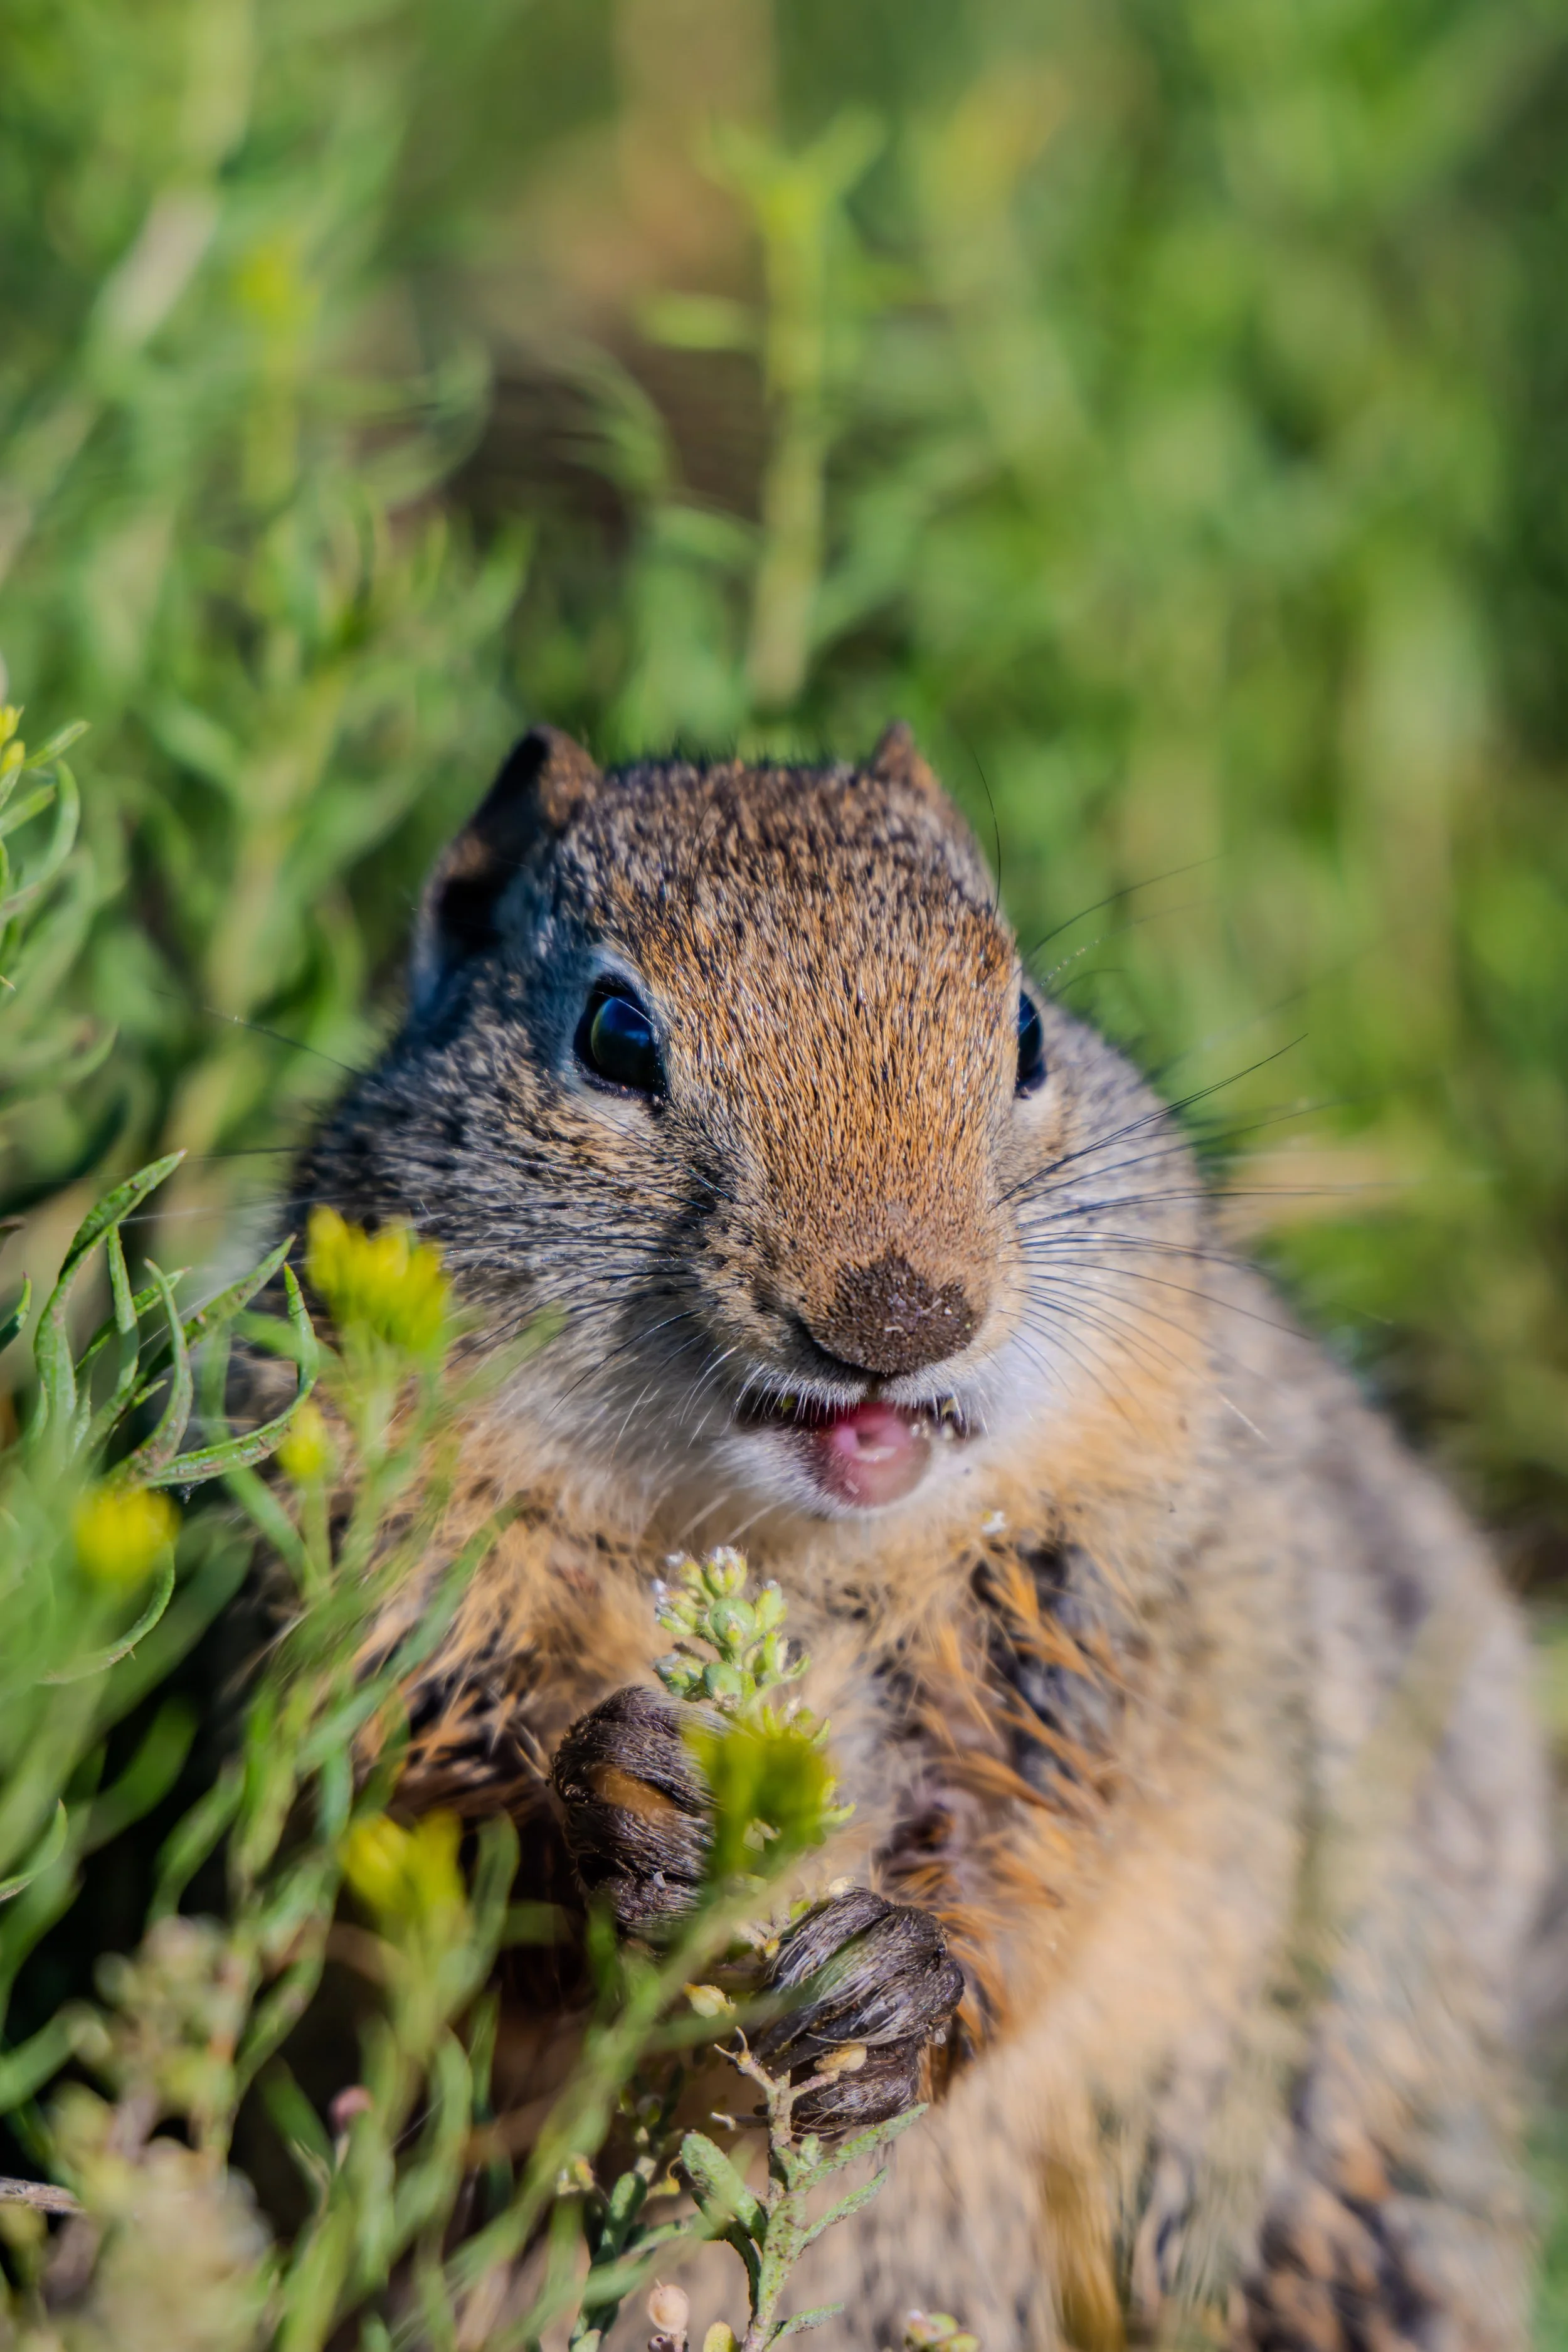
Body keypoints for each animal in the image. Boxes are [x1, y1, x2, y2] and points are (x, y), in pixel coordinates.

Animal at [284, 721, 1549, 2349]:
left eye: (1026, 1029)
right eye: (614, 1036)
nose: (896, 1314)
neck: (785, 1550)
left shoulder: (1082, 1610)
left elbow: (1034, 1853)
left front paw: (897, 1979)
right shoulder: (406, 1579)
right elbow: (439, 1830)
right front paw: (620, 1803)